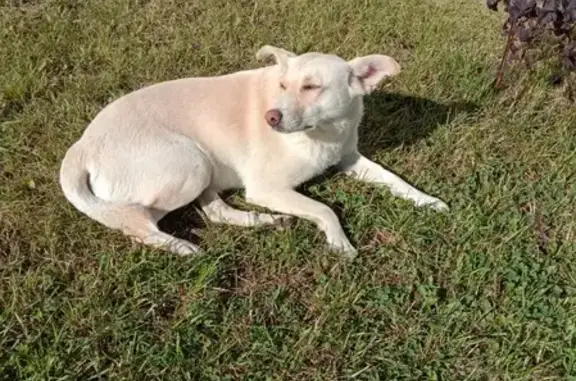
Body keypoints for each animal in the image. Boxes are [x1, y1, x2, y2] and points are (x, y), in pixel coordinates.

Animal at [58, 44, 448, 258]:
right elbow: (325, 208)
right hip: (190, 163)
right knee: (137, 223)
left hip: (205, 169)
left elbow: (394, 179)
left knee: (215, 211)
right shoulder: (267, 188)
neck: (324, 133)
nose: (270, 117)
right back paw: (182, 247)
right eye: (283, 85)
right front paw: (340, 243)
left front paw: (428, 201)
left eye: (311, 88)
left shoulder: (350, 158)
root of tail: (81, 145)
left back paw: (262, 221)